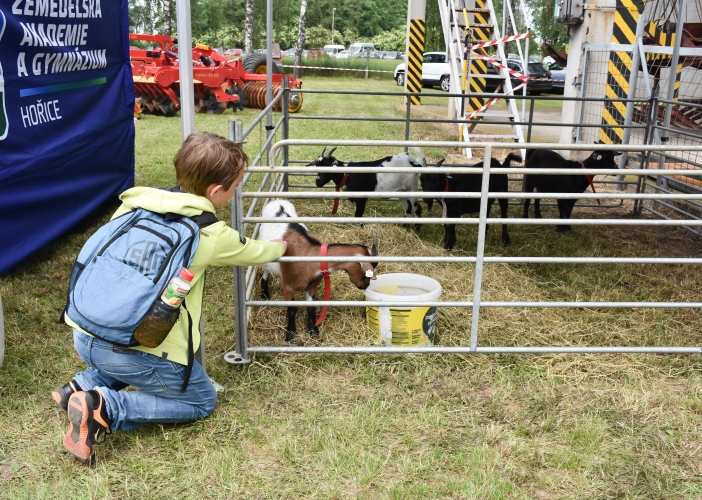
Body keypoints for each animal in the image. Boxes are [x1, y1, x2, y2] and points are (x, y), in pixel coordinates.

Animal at [258, 201, 380, 342]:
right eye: (368, 270)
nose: (366, 285)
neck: (308, 254)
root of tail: (278, 202)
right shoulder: (288, 285)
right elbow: (292, 310)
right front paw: (290, 335)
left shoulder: (312, 285)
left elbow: (311, 307)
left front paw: (313, 331)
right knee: (265, 274)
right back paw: (264, 295)